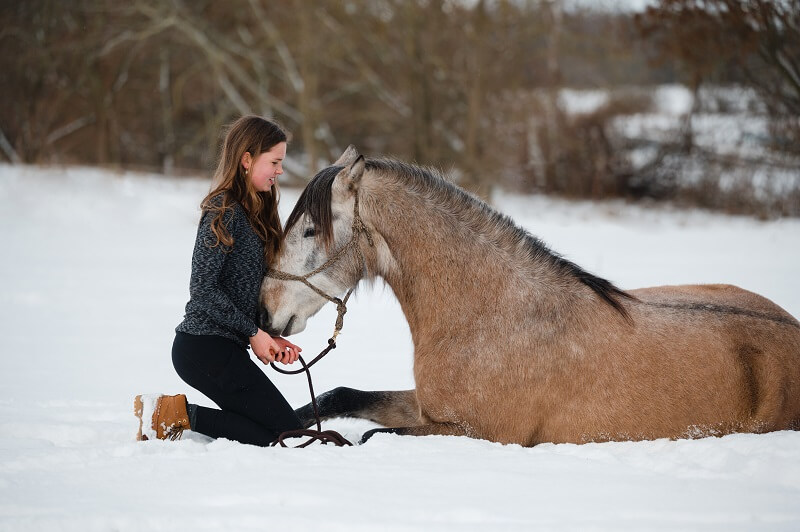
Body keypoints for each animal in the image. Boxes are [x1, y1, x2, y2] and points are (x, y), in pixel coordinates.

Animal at [260, 144, 800, 444]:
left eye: (310, 230)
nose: (265, 311)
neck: (493, 315)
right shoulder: (427, 408)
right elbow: (340, 396)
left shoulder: (477, 432)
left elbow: (372, 435)